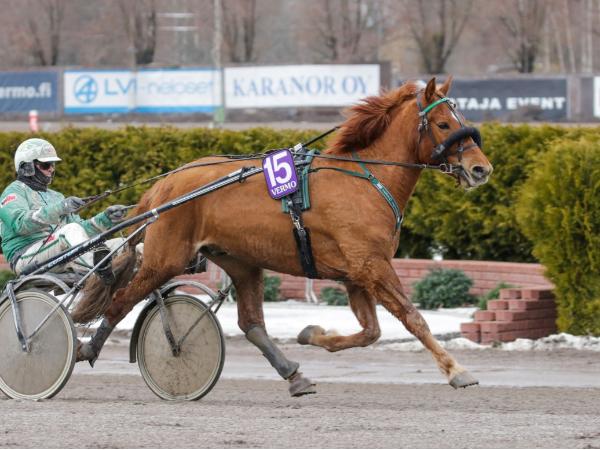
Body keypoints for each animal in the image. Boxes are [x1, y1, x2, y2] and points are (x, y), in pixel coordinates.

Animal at [74, 76, 493, 396]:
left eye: (462, 117)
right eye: (443, 123)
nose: (481, 169)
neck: (366, 180)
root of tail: (165, 185)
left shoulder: (357, 274)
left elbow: (370, 332)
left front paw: (312, 334)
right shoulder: (372, 265)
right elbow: (412, 317)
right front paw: (457, 371)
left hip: (240, 262)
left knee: (251, 324)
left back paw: (294, 375)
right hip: (166, 258)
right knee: (121, 301)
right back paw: (86, 349)